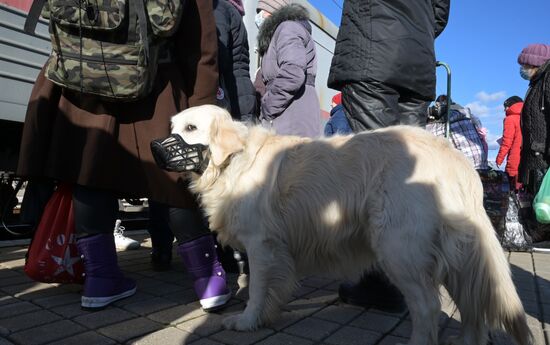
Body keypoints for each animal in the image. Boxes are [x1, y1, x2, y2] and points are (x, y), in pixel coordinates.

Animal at [164, 105, 532, 344]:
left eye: (191, 129)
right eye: (172, 129)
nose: (155, 146)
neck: (232, 162)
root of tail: (456, 160)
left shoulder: (260, 244)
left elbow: (256, 289)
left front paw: (246, 321)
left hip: (399, 248)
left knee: (429, 307)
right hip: (457, 254)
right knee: (473, 307)